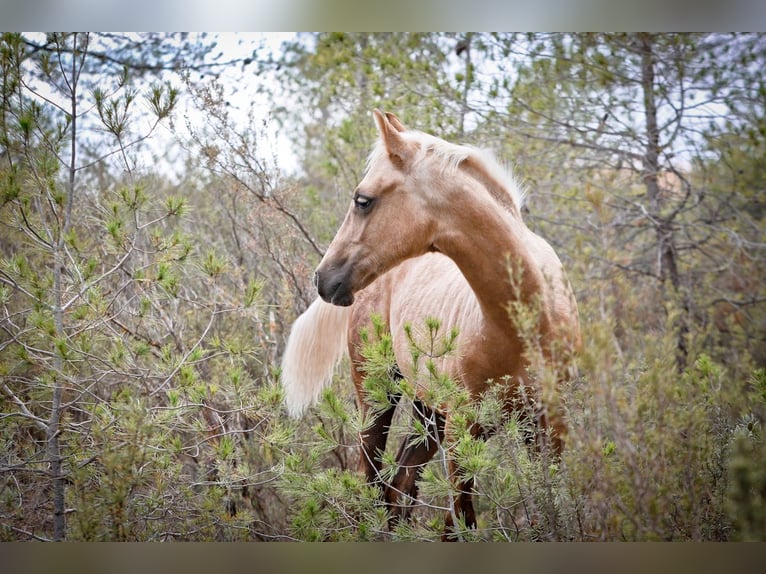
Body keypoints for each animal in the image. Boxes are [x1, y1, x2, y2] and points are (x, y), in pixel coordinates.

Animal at [282, 109, 584, 540]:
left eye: (363, 200)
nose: (323, 278)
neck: (526, 317)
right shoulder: (463, 432)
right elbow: (460, 523)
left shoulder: (548, 429)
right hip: (379, 397)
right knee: (373, 486)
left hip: (429, 413)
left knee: (399, 487)